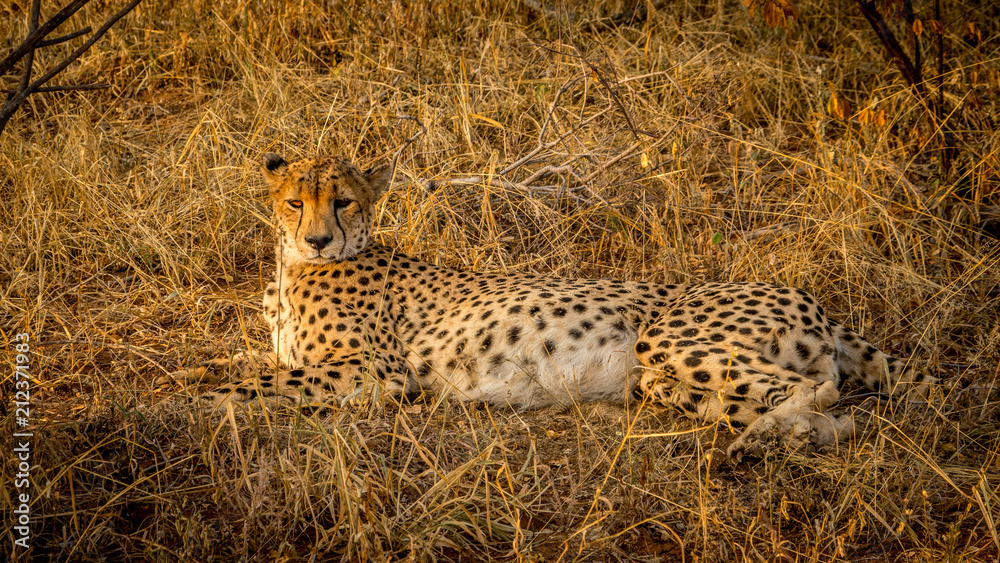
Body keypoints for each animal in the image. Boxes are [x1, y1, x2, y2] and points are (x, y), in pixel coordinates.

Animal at [166, 152, 935, 459]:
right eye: (295, 202)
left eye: (344, 201)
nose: (319, 237)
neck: (295, 266)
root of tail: (807, 296)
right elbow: (254, 367)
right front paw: (190, 384)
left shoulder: (374, 372)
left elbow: (256, 382)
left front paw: (185, 406)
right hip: (663, 378)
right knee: (828, 409)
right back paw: (784, 440)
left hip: (668, 340)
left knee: (819, 387)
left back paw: (762, 442)